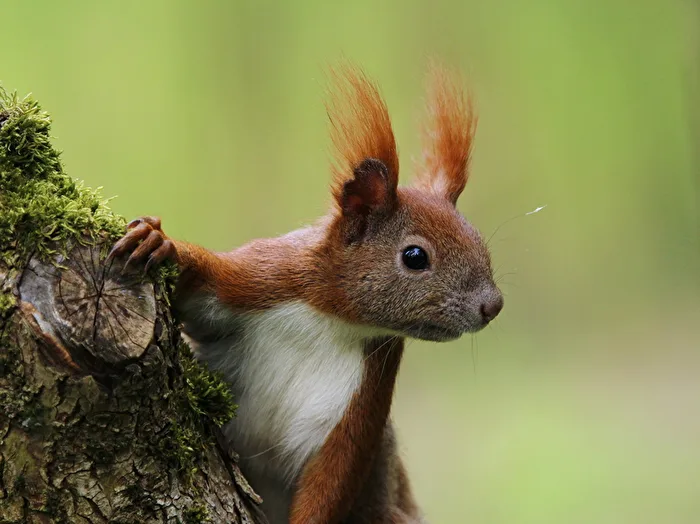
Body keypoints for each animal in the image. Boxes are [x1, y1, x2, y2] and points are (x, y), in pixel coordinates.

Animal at [109, 63, 503, 524]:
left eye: (477, 238)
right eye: (415, 257)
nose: (493, 305)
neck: (331, 320)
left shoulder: (361, 403)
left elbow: (330, 482)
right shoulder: (262, 279)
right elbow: (199, 288)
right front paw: (160, 242)